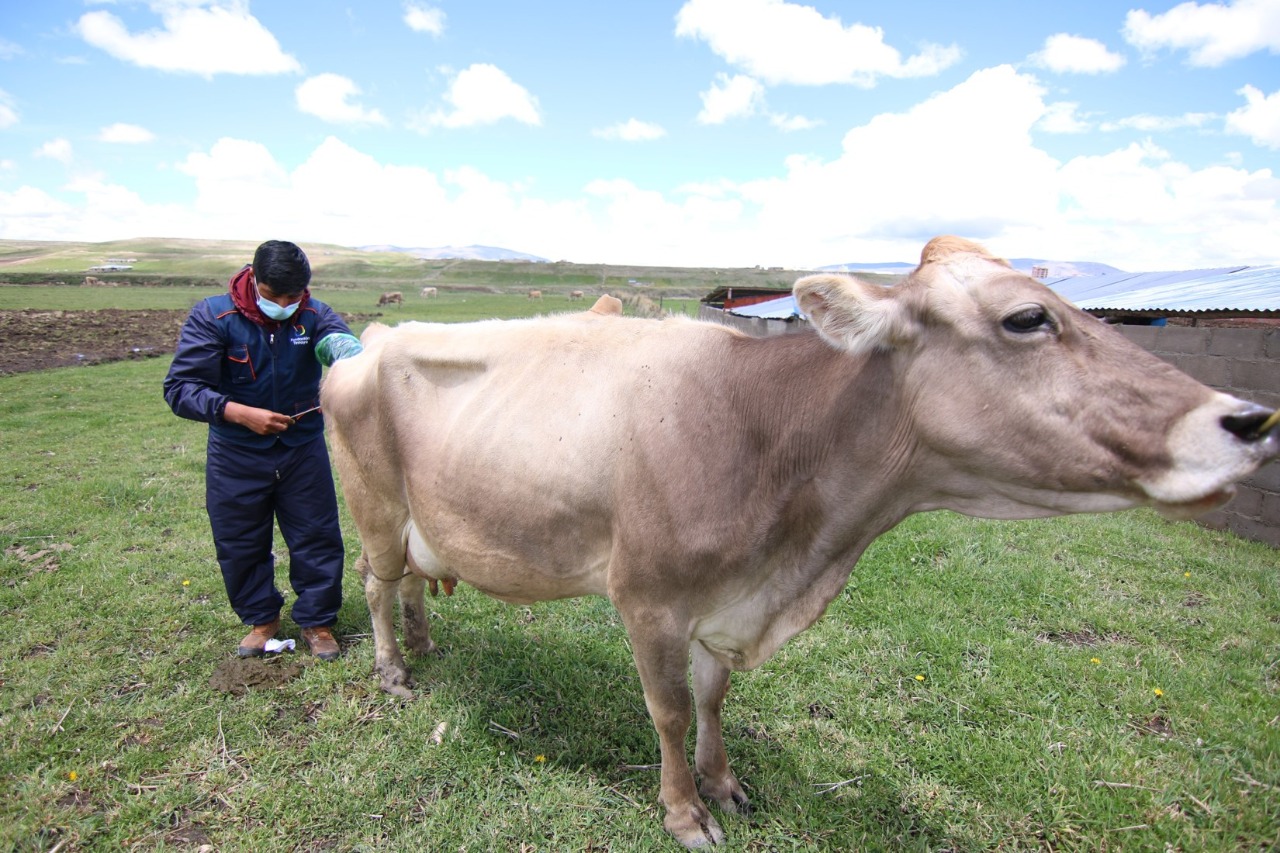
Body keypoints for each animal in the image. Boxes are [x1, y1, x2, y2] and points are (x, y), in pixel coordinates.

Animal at [322, 236, 1280, 845]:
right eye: (1025, 319)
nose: (1248, 419)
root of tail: (374, 335)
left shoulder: (726, 604)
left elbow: (713, 700)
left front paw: (724, 782)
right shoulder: (648, 597)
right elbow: (669, 710)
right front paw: (685, 812)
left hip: (425, 519)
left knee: (414, 580)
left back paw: (425, 643)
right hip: (373, 506)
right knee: (376, 582)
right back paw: (395, 670)